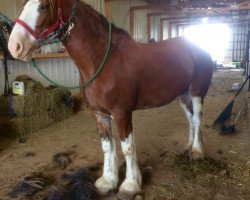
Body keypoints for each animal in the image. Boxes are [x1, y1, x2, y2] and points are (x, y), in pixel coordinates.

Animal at [7, 0, 213, 199]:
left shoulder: (122, 113)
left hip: (196, 93)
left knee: (196, 119)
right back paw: (188, 147)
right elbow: (107, 146)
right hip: (182, 95)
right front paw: (108, 181)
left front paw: (130, 185)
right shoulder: (99, 114)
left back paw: (197, 152)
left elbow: (127, 147)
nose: (14, 46)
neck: (103, 61)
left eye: (43, 6)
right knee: (190, 120)